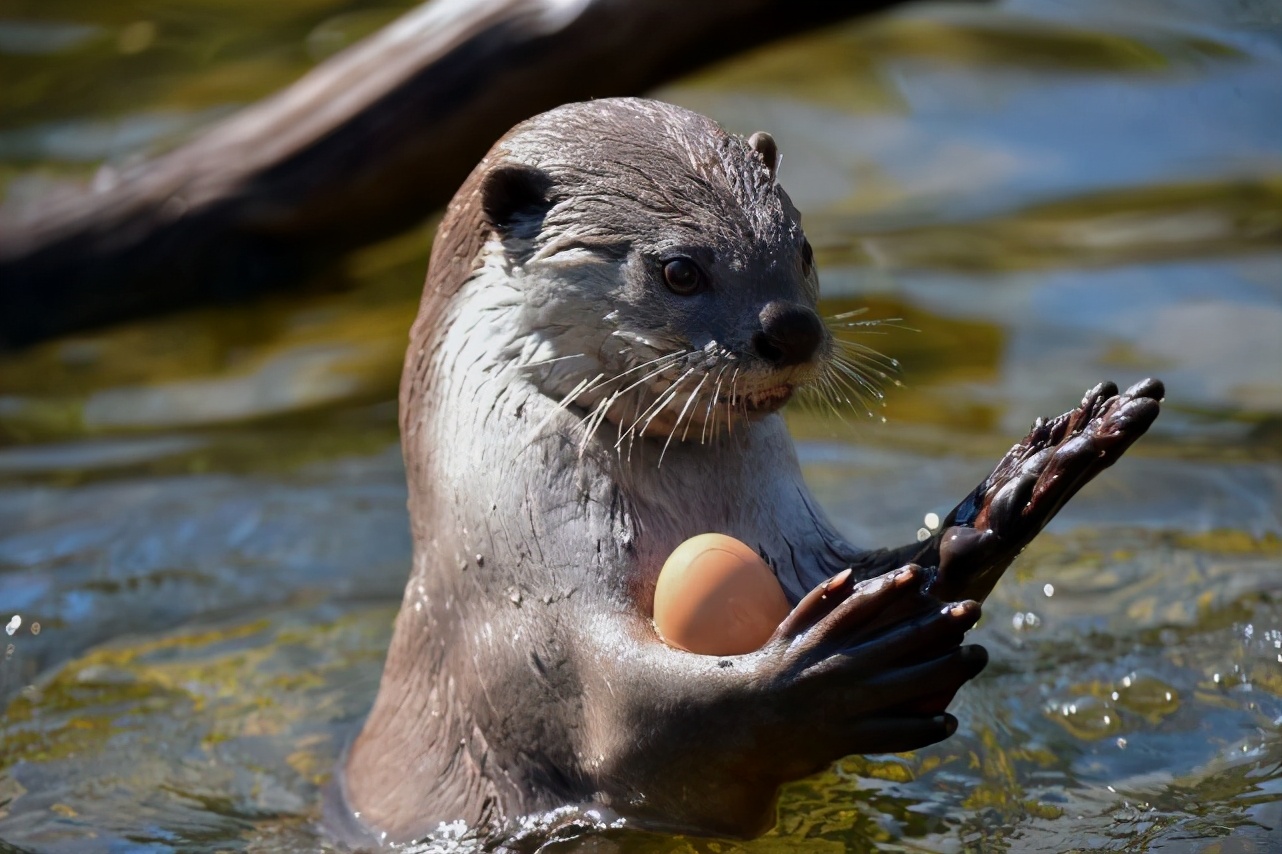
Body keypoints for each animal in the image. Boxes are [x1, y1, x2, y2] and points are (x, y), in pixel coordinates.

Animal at [335, 100, 1169, 846]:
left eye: (802, 250)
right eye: (678, 270)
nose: (792, 328)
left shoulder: (799, 544)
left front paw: (1016, 490)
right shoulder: (531, 628)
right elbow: (648, 727)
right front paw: (824, 674)